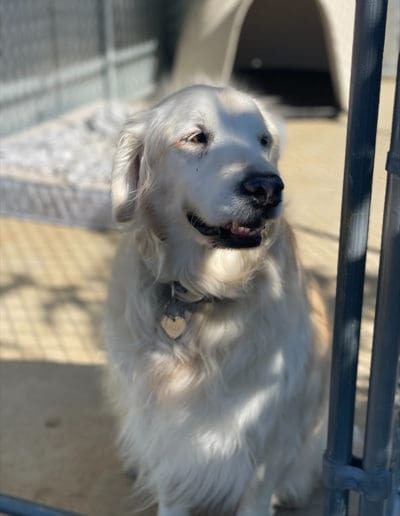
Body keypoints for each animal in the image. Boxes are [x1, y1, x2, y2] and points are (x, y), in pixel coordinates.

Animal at [104, 85, 330, 516]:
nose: (267, 188)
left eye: (264, 141)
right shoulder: (169, 445)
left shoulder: (266, 451)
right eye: (196, 137)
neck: (202, 293)